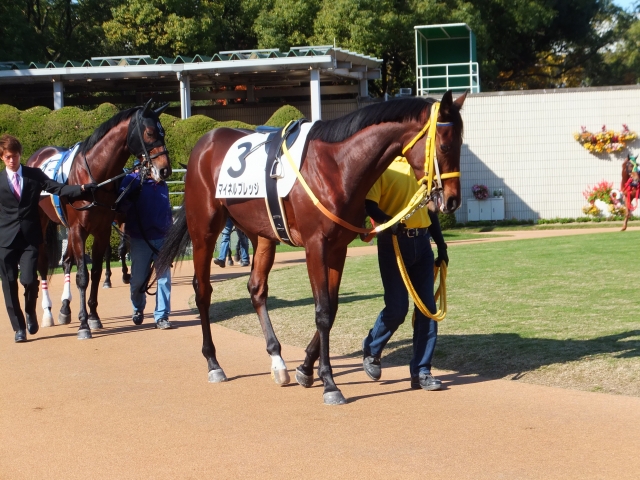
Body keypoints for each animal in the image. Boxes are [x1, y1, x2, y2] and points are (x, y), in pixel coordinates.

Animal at [27, 100, 172, 339]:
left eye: (164, 132)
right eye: (150, 132)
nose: (165, 169)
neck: (93, 177)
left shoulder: (102, 230)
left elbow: (94, 272)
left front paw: (93, 316)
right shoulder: (79, 230)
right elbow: (83, 276)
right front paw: (84, 324)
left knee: (66, 261)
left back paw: (65, 308)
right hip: (42, 223)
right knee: (42, 264)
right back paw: (47, 313)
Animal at [156, 90, 466, 404]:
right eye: (444, 145)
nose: (452, 200)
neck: (337, 166)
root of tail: (204, 142)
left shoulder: (338, 248)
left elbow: (333, 306)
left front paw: (305, 368)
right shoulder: (315, 246)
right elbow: (323, 311)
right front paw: (329, 383)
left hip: (262, 234)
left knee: (256, 288)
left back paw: (278, 361)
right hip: (204, 230)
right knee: (203, 291)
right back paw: (214, 363)